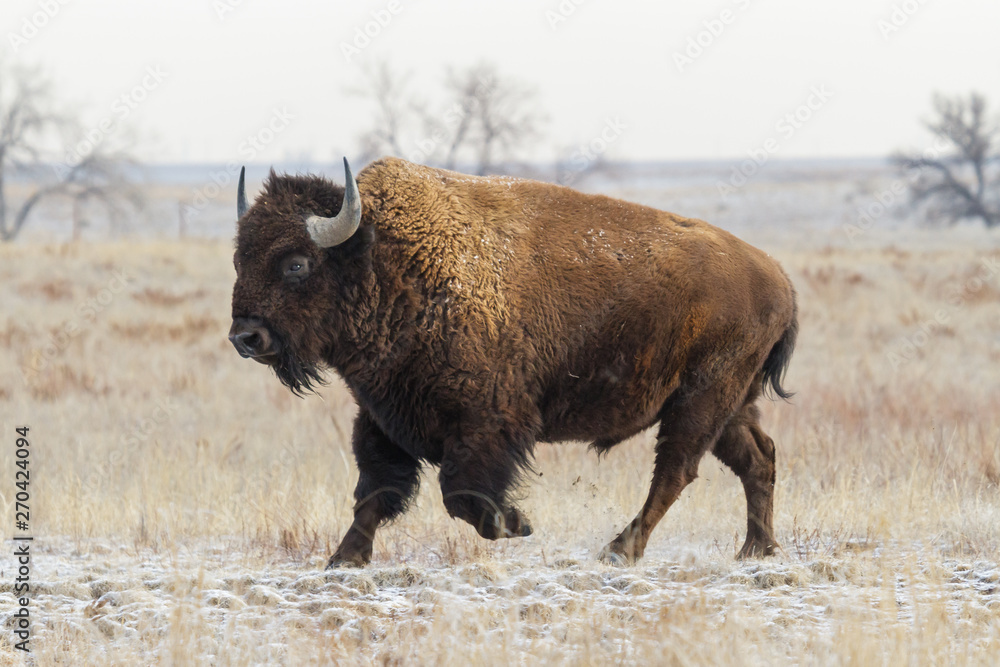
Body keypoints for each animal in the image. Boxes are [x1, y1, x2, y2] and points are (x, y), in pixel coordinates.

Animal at [229, 158, 796, 568]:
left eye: (296, 263)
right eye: (240, 259)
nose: (245, 336)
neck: (388, 261)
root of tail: (778, 278)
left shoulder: (486, 422)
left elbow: (458, 492)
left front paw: (515, 523)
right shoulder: (383, 417)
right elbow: (376, 490)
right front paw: (343, 560)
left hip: (700, 400)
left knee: (676, 471)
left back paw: (620, 550)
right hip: (729, 406)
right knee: (758, 458)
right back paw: (755, 550)